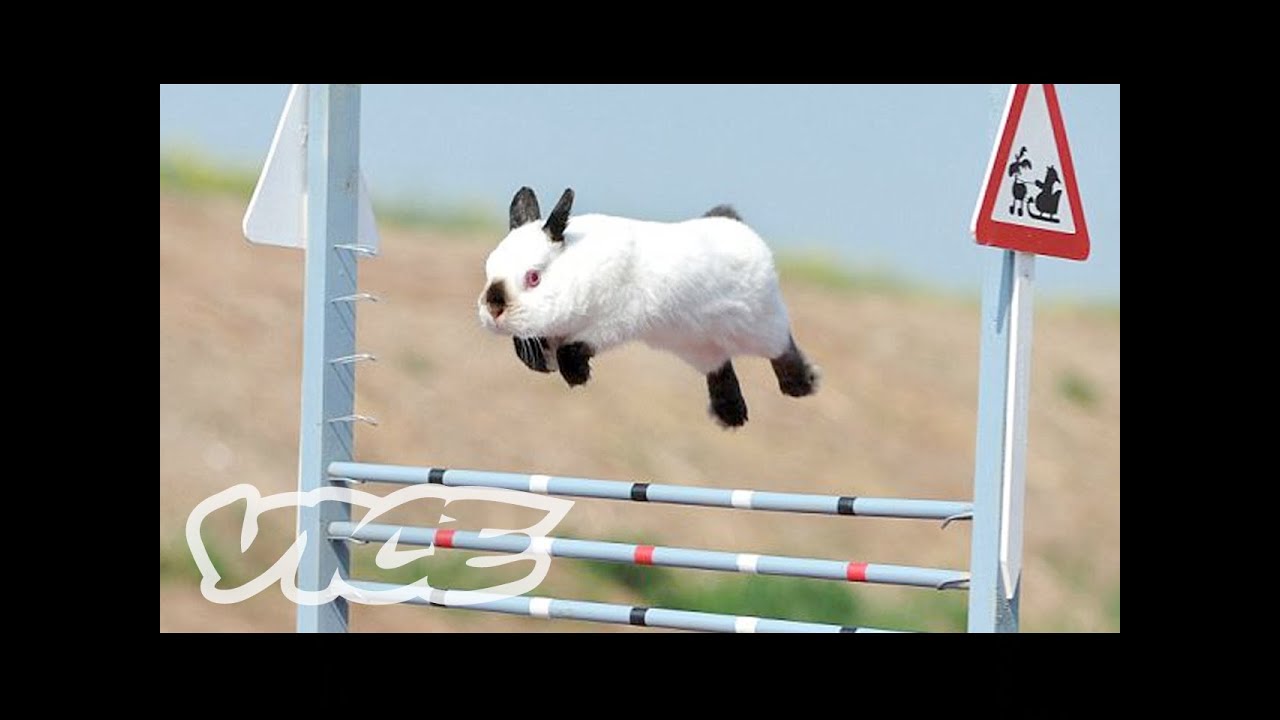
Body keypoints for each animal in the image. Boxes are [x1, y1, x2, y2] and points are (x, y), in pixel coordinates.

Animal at [478, 184, 819, 425]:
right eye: (489, 269)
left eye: (533, 277)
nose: (493, 310)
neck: (576, 265)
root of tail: (733, 223)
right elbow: (533, 350)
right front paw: (543, 365)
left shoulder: (613, 322)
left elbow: (571, 349)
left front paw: (577, 377)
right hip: (698, 347)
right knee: (721, 369)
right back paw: (731, 416)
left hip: (761, 325)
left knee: (783, 349)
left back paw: (801, 385)